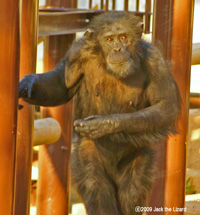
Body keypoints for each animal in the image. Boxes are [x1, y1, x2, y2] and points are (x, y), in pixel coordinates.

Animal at [19, 12, 181, 215]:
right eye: (109, 39)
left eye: (124, 37)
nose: (118, 48)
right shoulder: (76, 53)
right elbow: (61, 84)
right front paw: (29, 83)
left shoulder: (156, 61)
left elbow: (166, 105)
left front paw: (103, 124)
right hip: (87, 155)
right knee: (96, 186)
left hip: (139, 156)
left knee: (132, 192)